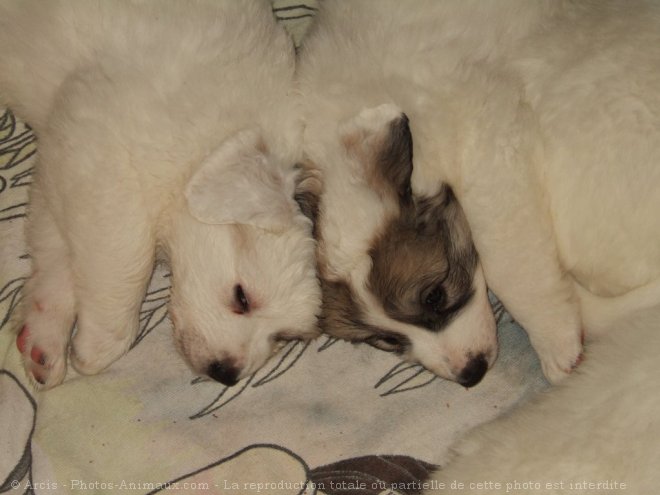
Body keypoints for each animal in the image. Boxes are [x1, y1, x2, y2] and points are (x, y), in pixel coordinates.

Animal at [0, 0, 320, 388]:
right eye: (242, 298)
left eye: (283, 336)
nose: (227, 375)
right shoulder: (98, 151)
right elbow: (127, 256)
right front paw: (98, 345)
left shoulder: (63, 161)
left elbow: (55, 250)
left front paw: (43, 338)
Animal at [300, 0, 660, 386]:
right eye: (387, 340)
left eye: (434, 296)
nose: (470, 376)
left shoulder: (487, 139)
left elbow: (508, 263)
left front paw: (555, 340)